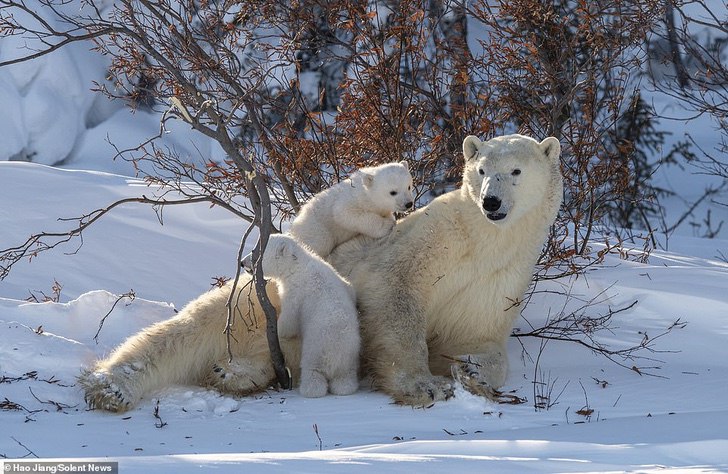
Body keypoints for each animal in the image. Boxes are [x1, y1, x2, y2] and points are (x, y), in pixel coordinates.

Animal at [243, 235, 360, 398]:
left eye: (257, 254)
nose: (242, 262)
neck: (297, 265)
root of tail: (335, 355)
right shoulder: (334, 274)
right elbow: (349, 288)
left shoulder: (295, 291)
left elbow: (289, 320)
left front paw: (277, 327)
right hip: (350, 359)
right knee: (345, 379)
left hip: (315, 352)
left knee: (313, 375)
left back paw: (308, 389)